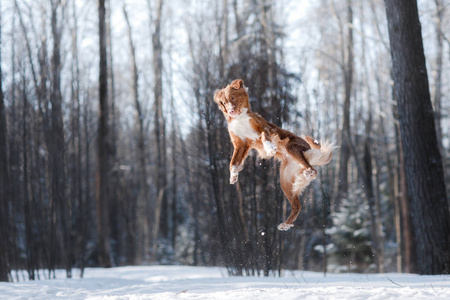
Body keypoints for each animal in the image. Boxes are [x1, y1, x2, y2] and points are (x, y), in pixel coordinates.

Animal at [215, 78, 338, 231]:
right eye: (224, 103)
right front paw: (233, 176)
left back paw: (308, 173)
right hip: (285, 181)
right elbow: (233, 162)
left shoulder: (262, 127)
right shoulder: (240, 144)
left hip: (292, 147)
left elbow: (264, 137)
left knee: (313, 170)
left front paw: (270, 148)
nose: (231, 111)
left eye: (232, 98)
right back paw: (286, 224)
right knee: (297, 205)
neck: (239, 119)